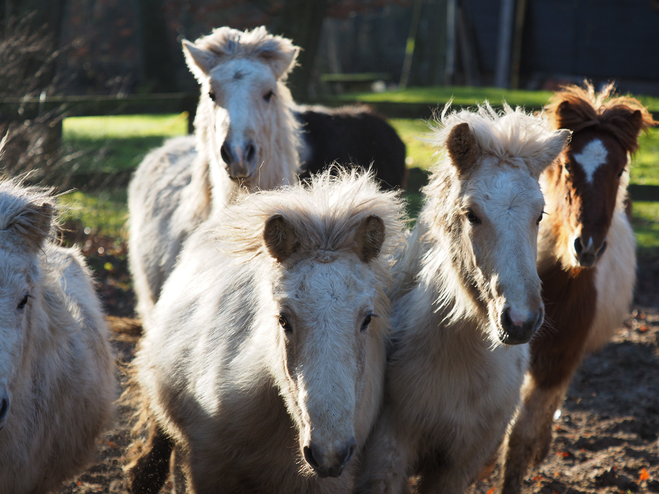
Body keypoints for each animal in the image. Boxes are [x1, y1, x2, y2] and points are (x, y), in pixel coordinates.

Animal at [356, 105, 572, 494]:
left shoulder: (459, 464)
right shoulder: (386, 455)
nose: (520, 321)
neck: (461, 361)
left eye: (540, 215)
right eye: (472, 214)